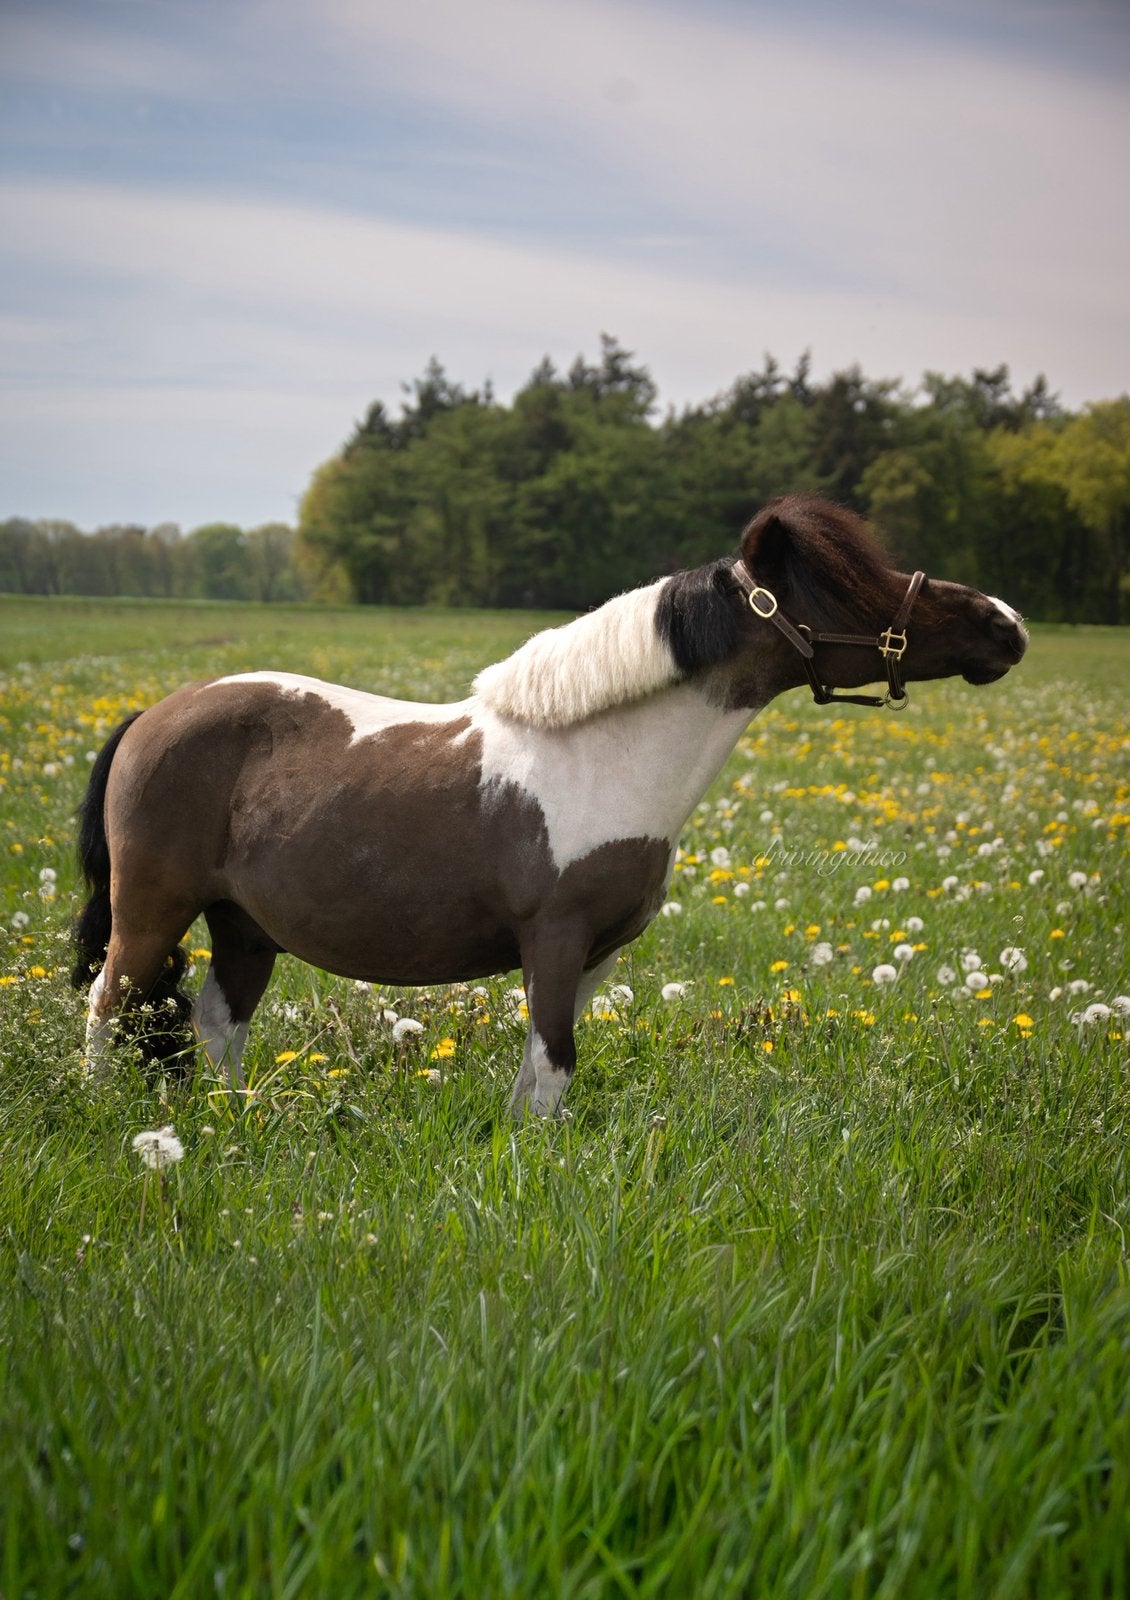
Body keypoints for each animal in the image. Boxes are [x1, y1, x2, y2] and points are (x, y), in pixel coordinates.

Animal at [72, 495, 1028, 1115]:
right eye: (852, 582)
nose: (1007, 624)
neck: (606, 758)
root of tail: (149, 719)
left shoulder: (593, 956)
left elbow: (541, 1078)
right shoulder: (556, 940)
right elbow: (555, 1067)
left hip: (242, 928)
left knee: (216, 1025)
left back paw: (235, 1126)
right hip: (151, 912)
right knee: (108, 1009)